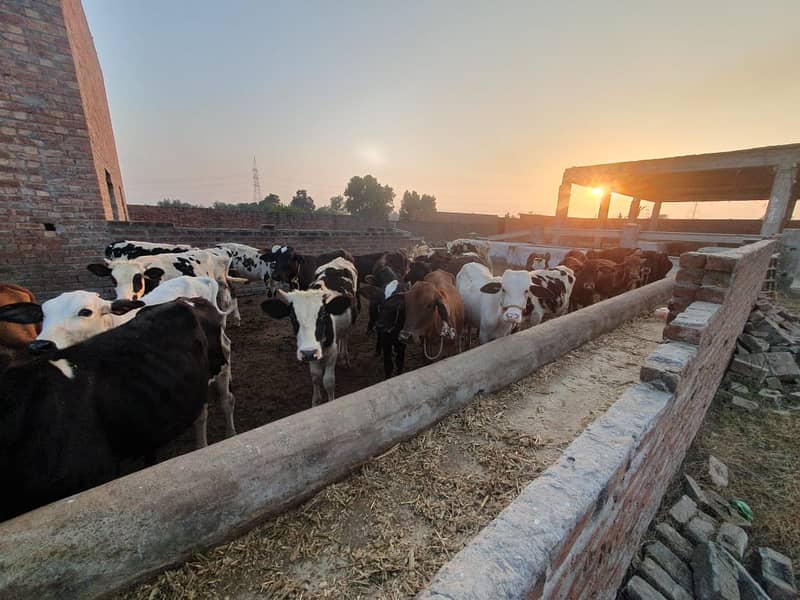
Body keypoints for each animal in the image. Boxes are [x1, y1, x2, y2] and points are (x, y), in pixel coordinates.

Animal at [260, 255, 358, 406]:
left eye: (323, 316)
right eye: (293, 318)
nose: (309, 353)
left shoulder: (331, 351)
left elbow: (328, 381)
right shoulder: (309, 352)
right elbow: (316, 377)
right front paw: (316, 401)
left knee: (344, 337)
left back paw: (345, 358)